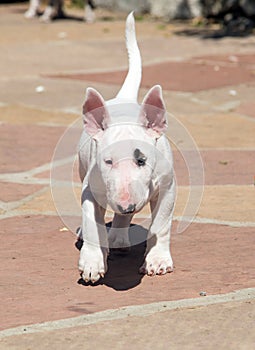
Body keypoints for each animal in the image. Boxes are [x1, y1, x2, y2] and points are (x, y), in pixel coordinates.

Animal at [79, 12, 175, 284]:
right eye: (107, 162)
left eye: (142, 161)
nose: (126, 205)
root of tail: (124, 98)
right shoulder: (90, 190)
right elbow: (92, 223)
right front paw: (92, 262)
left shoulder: (167, 187)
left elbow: (161, 223)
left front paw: (158, 260)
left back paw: (119, 237)